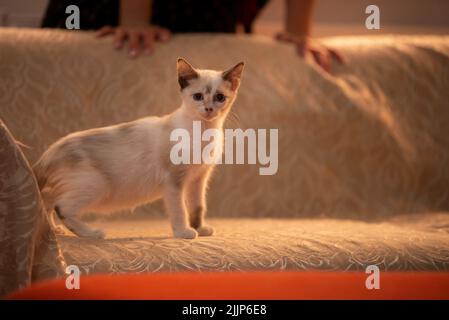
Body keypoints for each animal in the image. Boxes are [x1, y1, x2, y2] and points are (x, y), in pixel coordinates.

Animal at [32, 58, 243, 240]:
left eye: (219, 97)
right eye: (198, 97)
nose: (208, 109)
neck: (204, 131)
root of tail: (48, 153)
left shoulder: (198, 179)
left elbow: (197, 208)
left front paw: (200, 229)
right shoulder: (174, 181)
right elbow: (180, 210)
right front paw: (184, 232)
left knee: (46, 199)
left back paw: (54, 231)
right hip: (96, 185)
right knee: (62, 207)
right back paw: (93, 233)